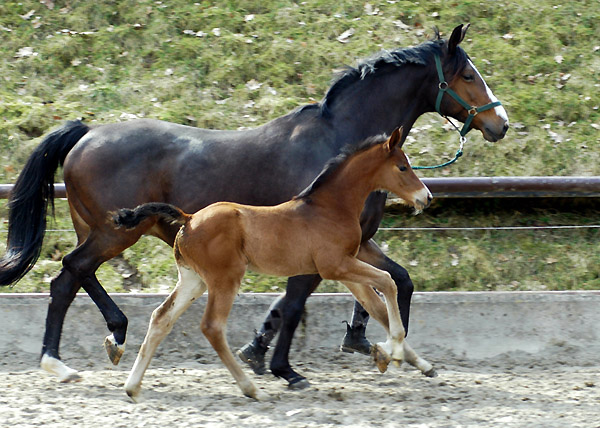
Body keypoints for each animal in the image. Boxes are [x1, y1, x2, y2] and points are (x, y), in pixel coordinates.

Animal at [113, 129, 432, 400]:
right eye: (402, 167)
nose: (426, 197)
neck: (330, 209)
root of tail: (188, 218)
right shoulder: (336, 266)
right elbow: (388, 282)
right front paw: (395, 352)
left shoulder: (344, 270)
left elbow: (376, 306)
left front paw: (408, 360)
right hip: (225, 278)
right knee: (212, 327)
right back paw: (252, 389)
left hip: (194, 279)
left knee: (161, 318)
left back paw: (132, 387)